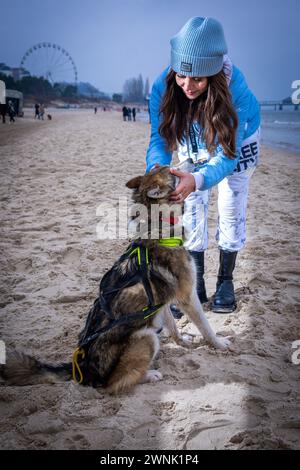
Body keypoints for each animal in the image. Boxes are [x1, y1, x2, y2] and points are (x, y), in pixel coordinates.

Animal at [2, 165, 230, 392]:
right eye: (172, 171)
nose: (191, 160)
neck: (157, 225)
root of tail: (82, 370)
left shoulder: (161, 302)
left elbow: (173, 326)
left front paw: (182, 340)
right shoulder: (187, 296)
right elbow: (205, 326)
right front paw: (219, 344)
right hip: (147, 337)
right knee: (115, 383)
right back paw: (149, 375)